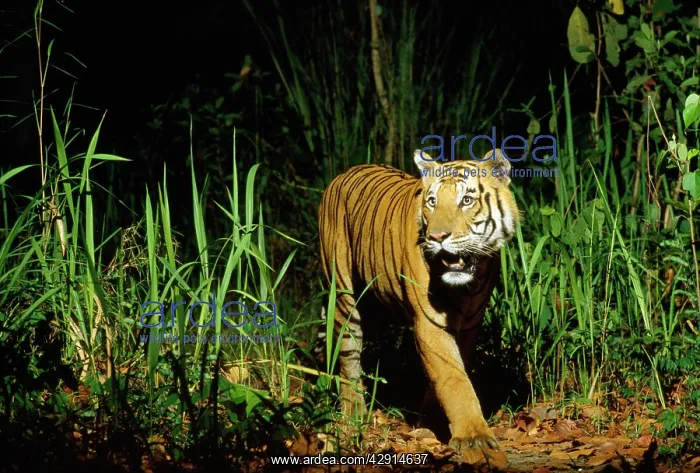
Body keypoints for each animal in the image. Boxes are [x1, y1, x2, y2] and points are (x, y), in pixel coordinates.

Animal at [316, 148, 519, 463]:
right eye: (432, 202)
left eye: (466, 200)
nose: (437, 237)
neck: (467, 285)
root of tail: (343, 173)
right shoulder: (430, 323)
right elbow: (453, 379)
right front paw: (474, 439)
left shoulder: (470, 324)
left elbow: (447, 373)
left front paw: (431, 424)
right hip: (344, 294)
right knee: (348, 357)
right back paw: (354, 415)